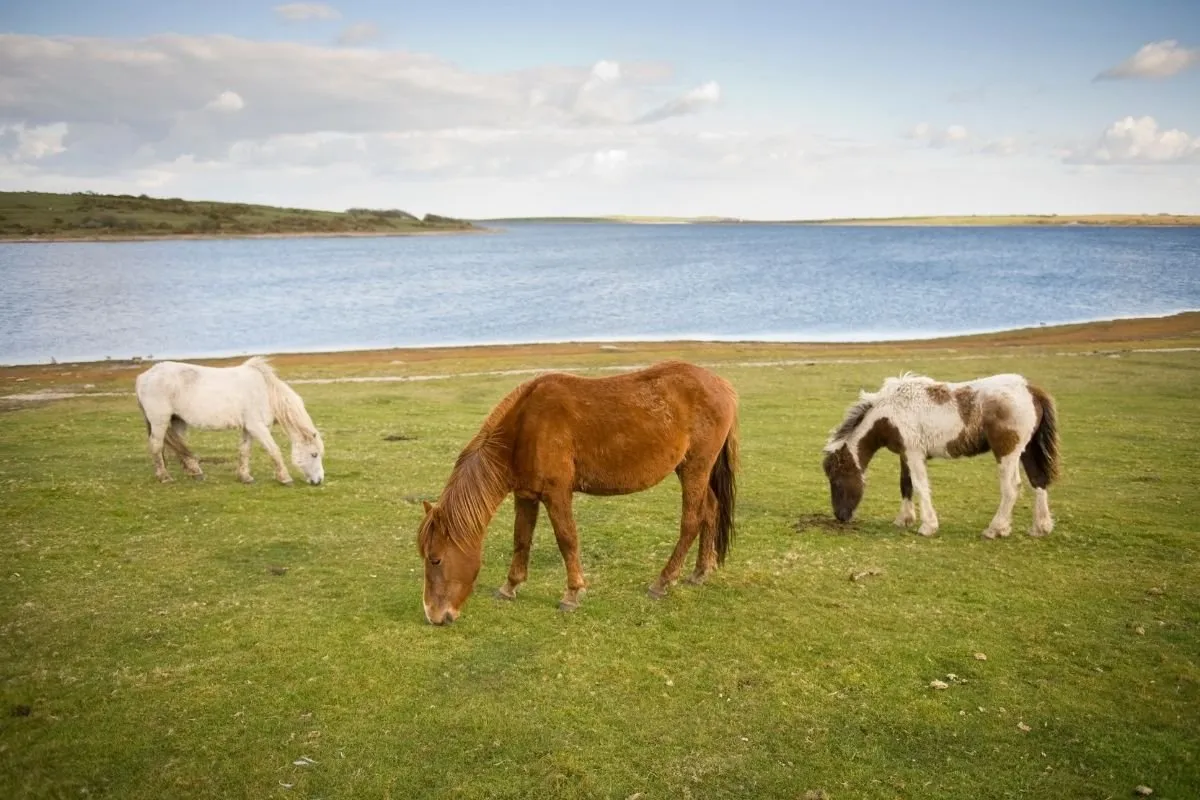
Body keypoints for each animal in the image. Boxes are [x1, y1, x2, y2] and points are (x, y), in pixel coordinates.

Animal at [134, 356, 324, 486]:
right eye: (314, 454)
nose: (319, 481)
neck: (266, 392)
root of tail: (143, 377)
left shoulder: (249, 428)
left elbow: (244, 451)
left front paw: (245, 477)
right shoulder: (258, 427)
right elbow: (274, 451)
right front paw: (285, 478)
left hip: (177, 421)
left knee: (178, 447)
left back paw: (195, 472)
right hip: (159, 421)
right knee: (156, 446)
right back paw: (164, 477)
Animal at [417, 360, 740, 625]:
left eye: (436, 559)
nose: (434, 616)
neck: (524, 427)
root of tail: (723, 385)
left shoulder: (557, 494)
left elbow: (567, 539)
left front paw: (572, 593)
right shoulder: (526, 495)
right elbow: (521, 540)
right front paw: (510, 586)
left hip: (695, 468)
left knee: (691, 522)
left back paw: (663, 581)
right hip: (696, 471)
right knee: (710, 511)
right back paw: (700, 572)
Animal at [822, 372, 1059, 539]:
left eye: (837, 480)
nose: (840, 516)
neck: (890, 413)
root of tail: (1030, 390)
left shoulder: (915, 454)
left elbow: (920, 485)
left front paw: (927, 526)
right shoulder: (905, 454)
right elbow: (905, 484)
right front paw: (903, 519)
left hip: (1007, 453)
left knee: (1011, 488)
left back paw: (995, 529)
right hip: (1027, 451)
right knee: (1038, 481)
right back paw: (1040, 528)